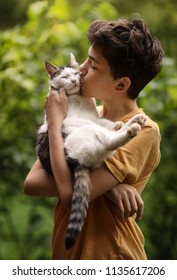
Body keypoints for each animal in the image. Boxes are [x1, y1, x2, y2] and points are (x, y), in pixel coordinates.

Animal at [36, 53, 147, 249]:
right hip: (87, 133)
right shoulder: (80, 121)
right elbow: (103, 127)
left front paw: (118, 123)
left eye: (76, 73)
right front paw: (121, 126)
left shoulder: (95, 118)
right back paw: (132, 129)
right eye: (65, 77)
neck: (77, 98)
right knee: (108, 143)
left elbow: (105, 122)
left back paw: (134, 121)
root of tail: (76, 162)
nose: (74, 80)